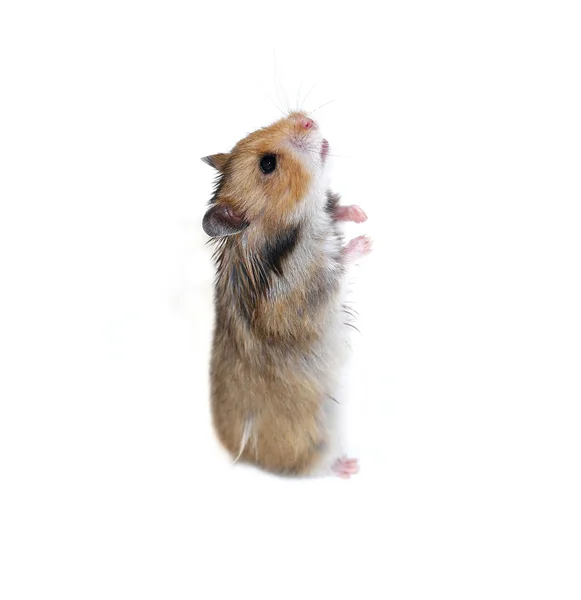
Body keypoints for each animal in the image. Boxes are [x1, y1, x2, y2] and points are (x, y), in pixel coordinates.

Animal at [201, 111, 372, 478]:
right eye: (267, 164)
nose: (306, 120)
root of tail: (247, 460)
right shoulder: (307, 291)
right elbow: (337, 264)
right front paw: (366, 242)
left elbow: (336, 211)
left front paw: (359, 213)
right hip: (317, 439)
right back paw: (349, 467)